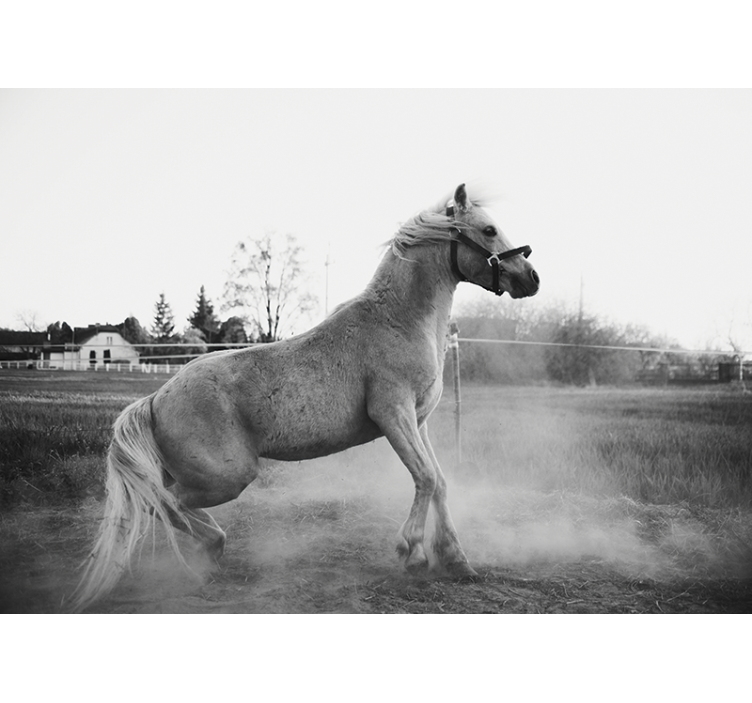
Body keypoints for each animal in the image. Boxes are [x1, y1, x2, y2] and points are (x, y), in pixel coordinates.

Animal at [70, 183, 540, 612]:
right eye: (489, 229)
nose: (531, 278)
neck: (400, 320)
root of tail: (155, 399)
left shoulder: (418, 421)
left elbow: (439, 482)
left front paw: (457, 561)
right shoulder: (393, 414)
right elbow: (425, 478)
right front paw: (413, 554)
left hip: (192, 474)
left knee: (155, 501)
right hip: (228, 477)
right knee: (165, 504)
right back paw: (211, 548)